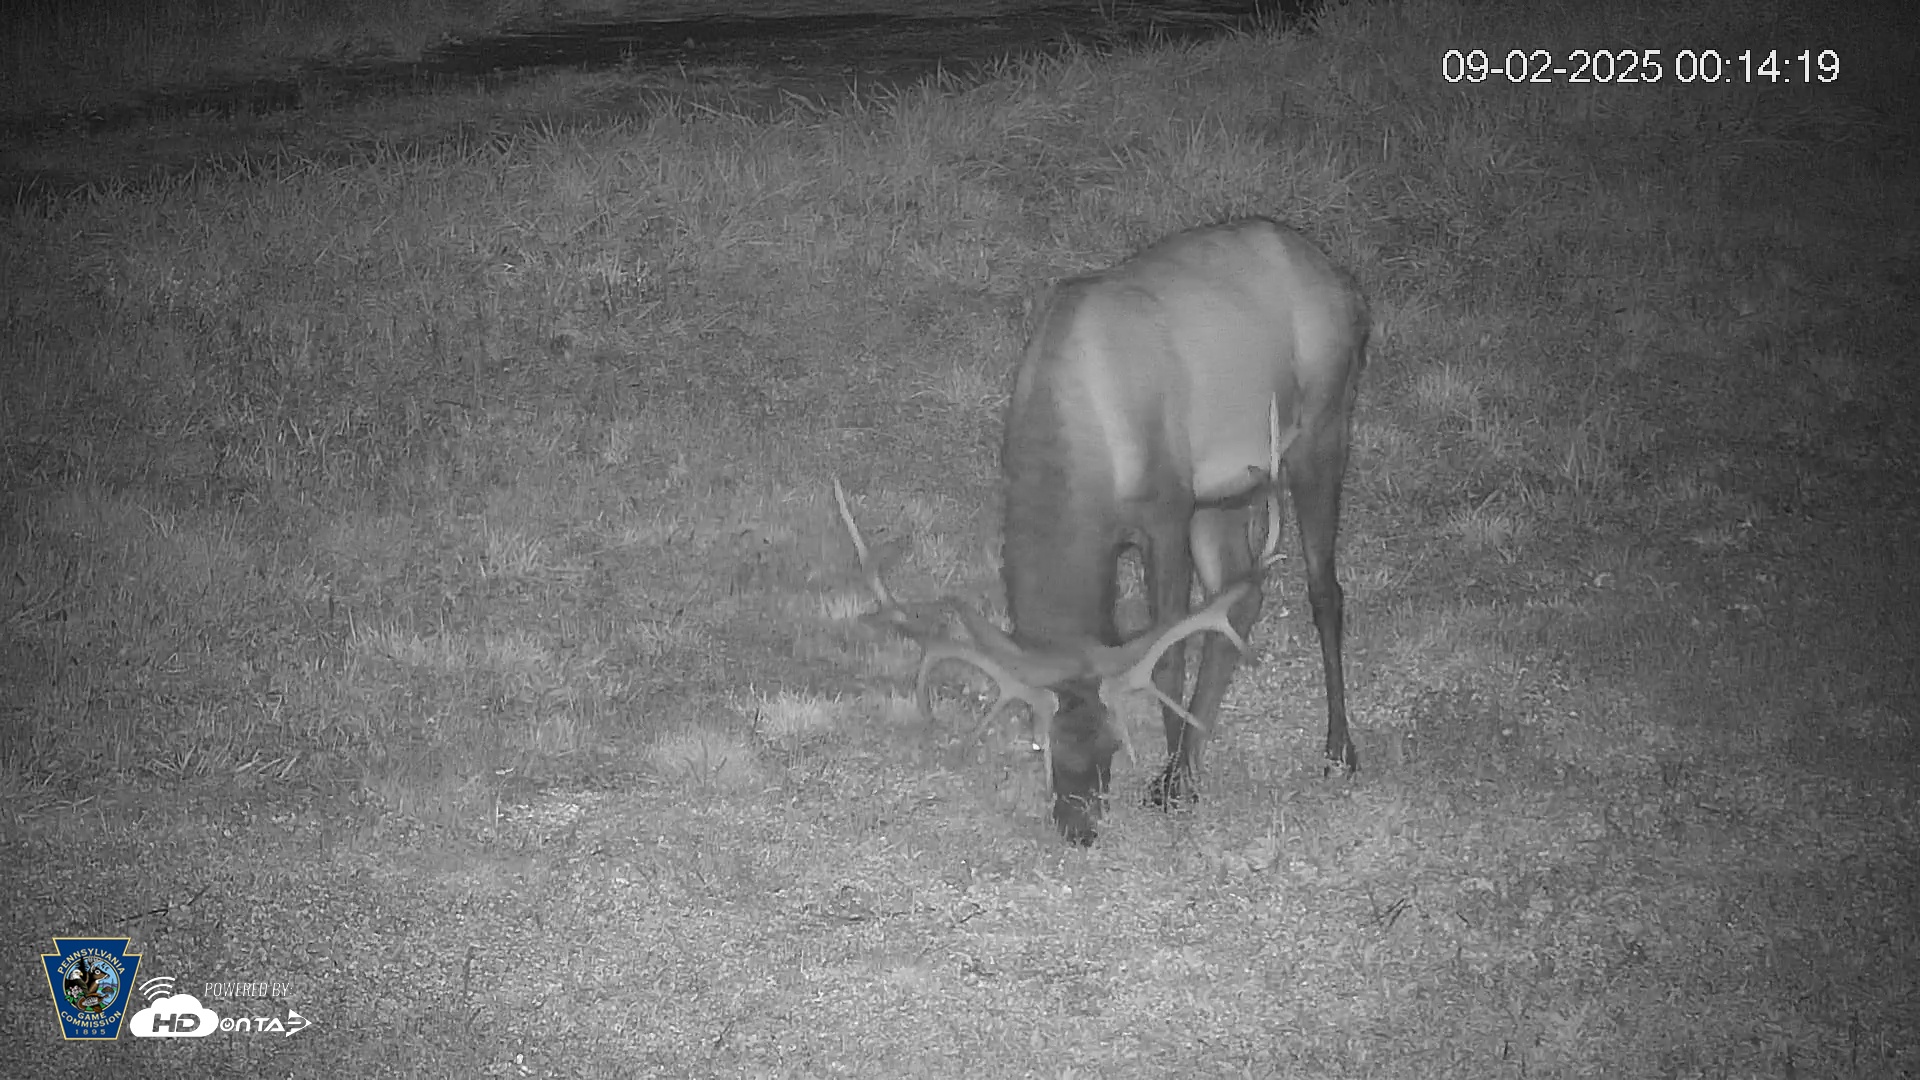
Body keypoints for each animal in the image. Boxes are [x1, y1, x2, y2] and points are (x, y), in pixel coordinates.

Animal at [836, 217, 1367, 843]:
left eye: (1113, 743)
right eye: (1041, 742)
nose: (1078, 826)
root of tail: (1345, 282)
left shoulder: (1167, 507)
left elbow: (1167, 654)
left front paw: (1172, 784)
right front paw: (1177, 775)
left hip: (1324, 425)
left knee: (1324, 590)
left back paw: (1337, 751)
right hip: (1230, 487)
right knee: (1242, 594)